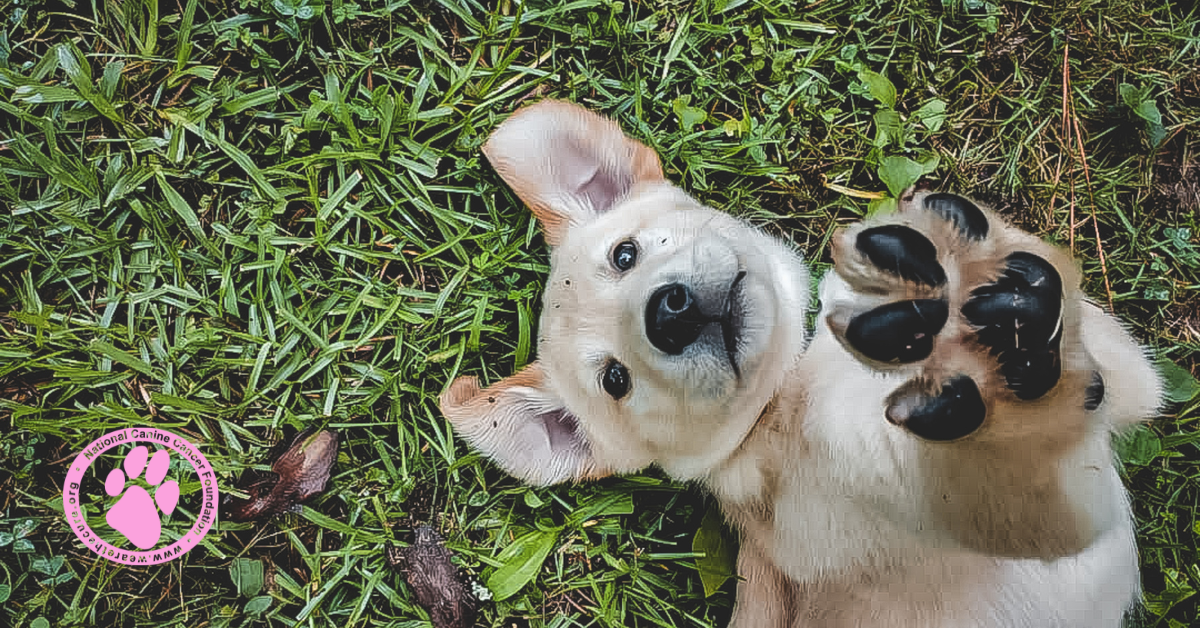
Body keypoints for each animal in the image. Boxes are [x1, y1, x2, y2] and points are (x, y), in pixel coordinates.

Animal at [441, 100, 1161, 624]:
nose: (669, 313)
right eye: (614, 379)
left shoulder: (1129, 382)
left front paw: (954, 252)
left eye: (624, 254)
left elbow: (1086, 332)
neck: (792, 389)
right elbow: (1015, 461)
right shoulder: (1027, 512)